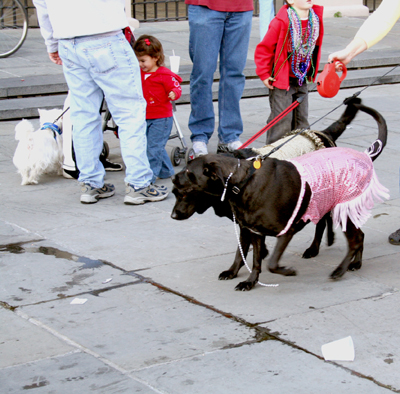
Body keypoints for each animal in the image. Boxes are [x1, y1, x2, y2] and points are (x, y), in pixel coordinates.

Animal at [171, 99, 388, 290]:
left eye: (185, 190)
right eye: (174, 191)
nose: (172, 215)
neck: (242, 184)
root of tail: (323, 133)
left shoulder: (285, 230)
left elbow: (270, 262)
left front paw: (285, 270)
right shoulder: (251, 230)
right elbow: (252, 258)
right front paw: (247, 280)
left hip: (340, 209)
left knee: (355, 237)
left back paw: (344, 266)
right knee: (337, 228)